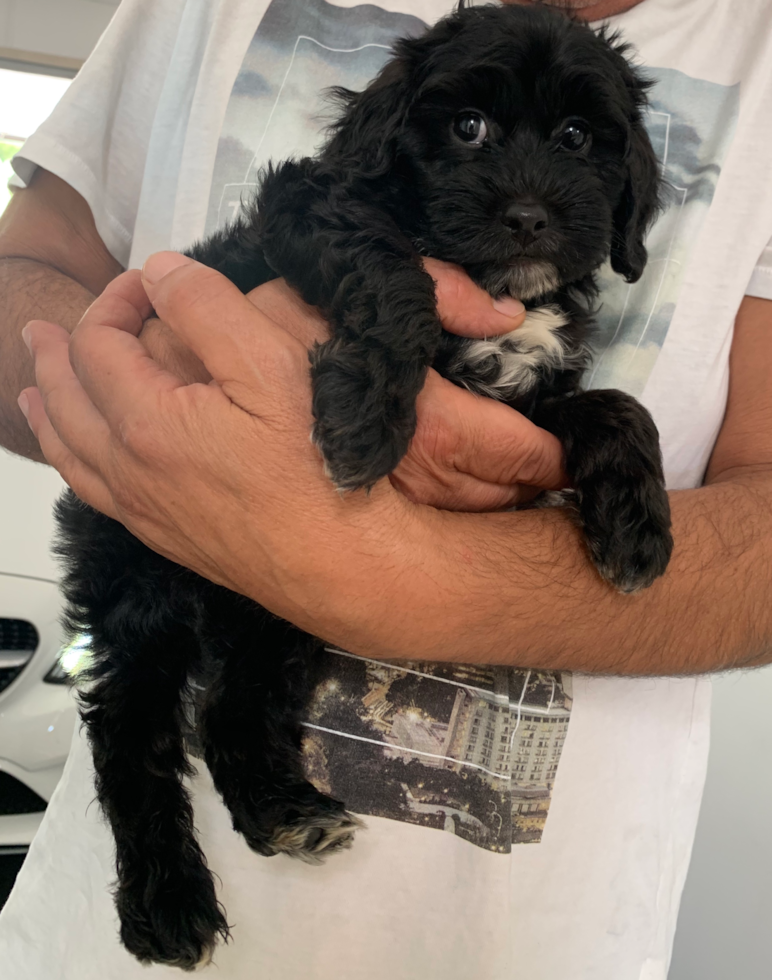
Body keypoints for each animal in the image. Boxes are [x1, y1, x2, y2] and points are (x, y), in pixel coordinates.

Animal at [55, 0, 668, 968]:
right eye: (467, 127)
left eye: (577, 137)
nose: (529, 217)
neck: (503, 295)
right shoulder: (307, 203)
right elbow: (390, 268)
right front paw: (367, 413)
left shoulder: (531, 404)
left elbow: (611, 404)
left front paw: (637, 523)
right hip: (145, 567)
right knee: (130, 720)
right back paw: (167, 898)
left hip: (284, 608)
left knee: (229, 712)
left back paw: (286, 813)